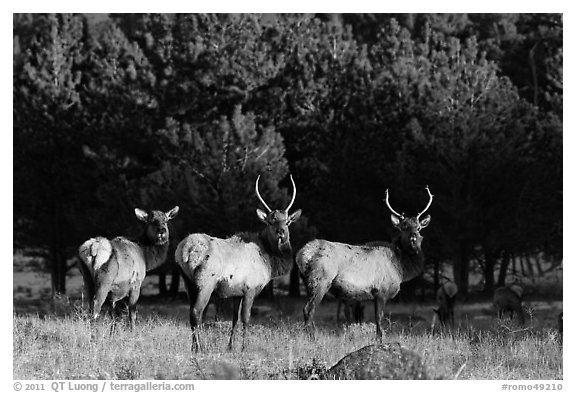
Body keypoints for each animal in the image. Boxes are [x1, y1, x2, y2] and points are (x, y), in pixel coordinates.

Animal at [174, 175, 302, 350]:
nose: (281, 231)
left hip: (188, 283)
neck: (269, 261)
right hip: (205, 283)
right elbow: (246, 319)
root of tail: (185, 250)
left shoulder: (236, 292)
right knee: (196, 312)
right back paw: (199, 348)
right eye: (270, 221)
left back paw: (194, 347)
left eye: (287, 221)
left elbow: (234, 319)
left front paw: (230, 347)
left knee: (192, 314)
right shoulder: (250, 288)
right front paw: (243, 347)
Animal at [296, 185, 432, 336]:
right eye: (403, 227)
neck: (401, 268)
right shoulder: (381, 291)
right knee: (308, 309)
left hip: (307, 282)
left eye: (418, 227)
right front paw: (380, 338)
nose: (413, 237)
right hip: (321, 280)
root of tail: (303, 254)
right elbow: (379, 320)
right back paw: (312, 337)